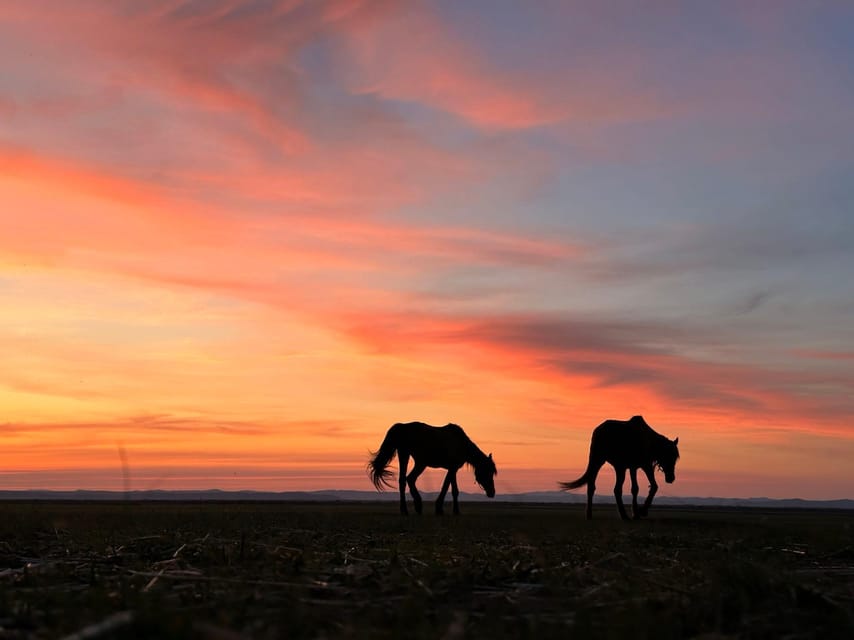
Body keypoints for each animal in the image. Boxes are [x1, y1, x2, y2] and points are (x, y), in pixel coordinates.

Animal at [366, 420, 498, 516]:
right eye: (488, 472)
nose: (492, 493)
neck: (461, 444)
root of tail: (402, 427)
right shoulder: (452, 468)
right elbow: (447, 487)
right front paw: (441, 509)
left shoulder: (453, 469)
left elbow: (453, 489)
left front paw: (453, 510)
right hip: (418, 462)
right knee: (409, 479)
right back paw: (415, 506)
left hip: (408, 457)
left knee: (404, 480)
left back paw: (409, 508)